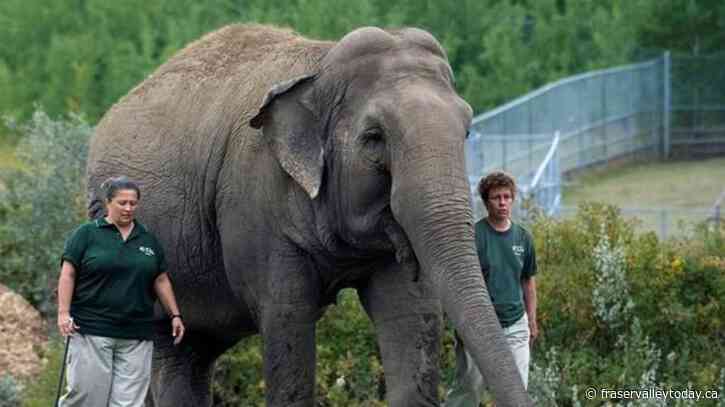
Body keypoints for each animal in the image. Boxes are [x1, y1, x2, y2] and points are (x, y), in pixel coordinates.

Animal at [86, 24, 531, 406]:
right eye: (374, 137)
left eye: (467, 130)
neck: (321, 63)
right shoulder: (255, 203)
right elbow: (288, 319)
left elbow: (411, 314)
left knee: (189, 353)